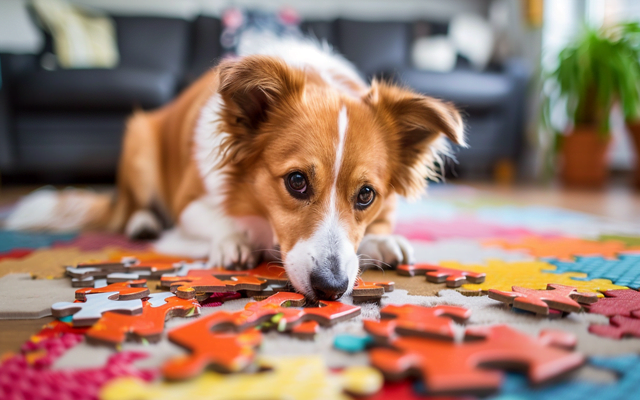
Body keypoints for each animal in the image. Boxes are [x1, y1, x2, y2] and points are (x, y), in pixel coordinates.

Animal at [6, 38, 464, 300]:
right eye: (297, 182)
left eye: (366, 194)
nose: (331, 289)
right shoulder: (190, 202)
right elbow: (216, 220)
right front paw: (232, 241)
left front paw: (382, 241)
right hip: (139, 142)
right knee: (132, 207)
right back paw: (142, 222)